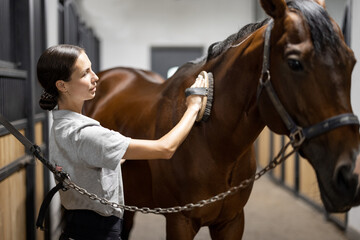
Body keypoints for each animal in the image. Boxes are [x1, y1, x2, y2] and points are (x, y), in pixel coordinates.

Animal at [83, 0, 360, 239]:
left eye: (351, 61)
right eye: (294, 63)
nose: (350, 176)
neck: (210, 140)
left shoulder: (232, 221)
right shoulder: (180, 221)